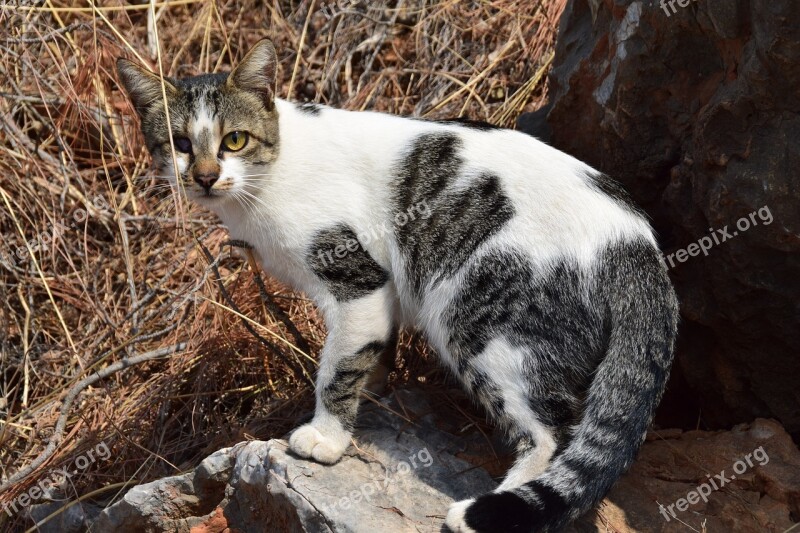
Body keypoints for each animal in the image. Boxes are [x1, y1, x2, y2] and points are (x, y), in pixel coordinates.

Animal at [117, 39, 680, 528]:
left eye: (234, 140)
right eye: (180, 144)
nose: (205, 176)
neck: (269, 174)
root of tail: (633, 238)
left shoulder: (359, 282)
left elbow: (336, 369)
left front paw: (326, 437)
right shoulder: (378, 300)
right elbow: (368, 351)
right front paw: (374, 387)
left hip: (476, 318)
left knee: (554, 435)